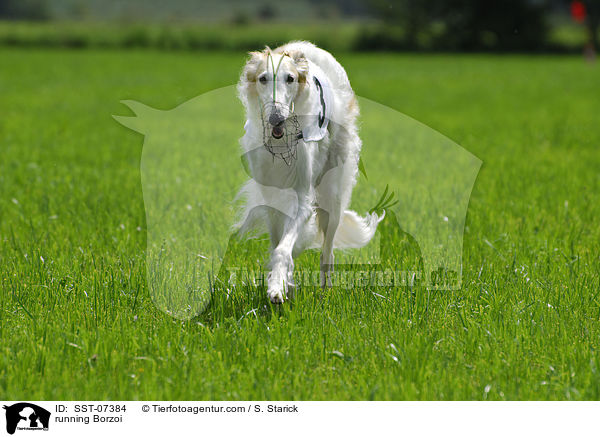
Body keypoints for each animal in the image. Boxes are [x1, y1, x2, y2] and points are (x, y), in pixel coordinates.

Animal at [236, 41, 382, 304]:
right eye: (263, 78)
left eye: (290, 78)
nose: (276, 119)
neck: (281, 147)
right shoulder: (272, 199)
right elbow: (278, 245)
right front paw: (281, 284)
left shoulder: (302, 196)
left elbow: (284, 249)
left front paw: (276, 288)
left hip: (331, 197)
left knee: (327, 254)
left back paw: (326, 294)